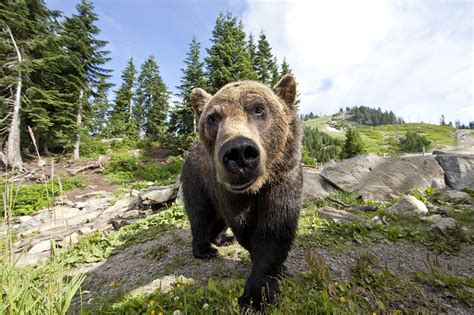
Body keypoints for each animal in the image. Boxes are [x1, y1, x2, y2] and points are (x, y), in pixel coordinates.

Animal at [180, 74, 302, 312]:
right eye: (212, 118)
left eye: (258, 108)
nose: (239, 152)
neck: (258, 187)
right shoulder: (229, 193)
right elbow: (245, 227)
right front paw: (255, 297)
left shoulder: (284, 180)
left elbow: (275, 228)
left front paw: (266, 284)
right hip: (197, 180)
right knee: (201, 214)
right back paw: (204, 249)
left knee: (215, 221)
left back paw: (222, 238)